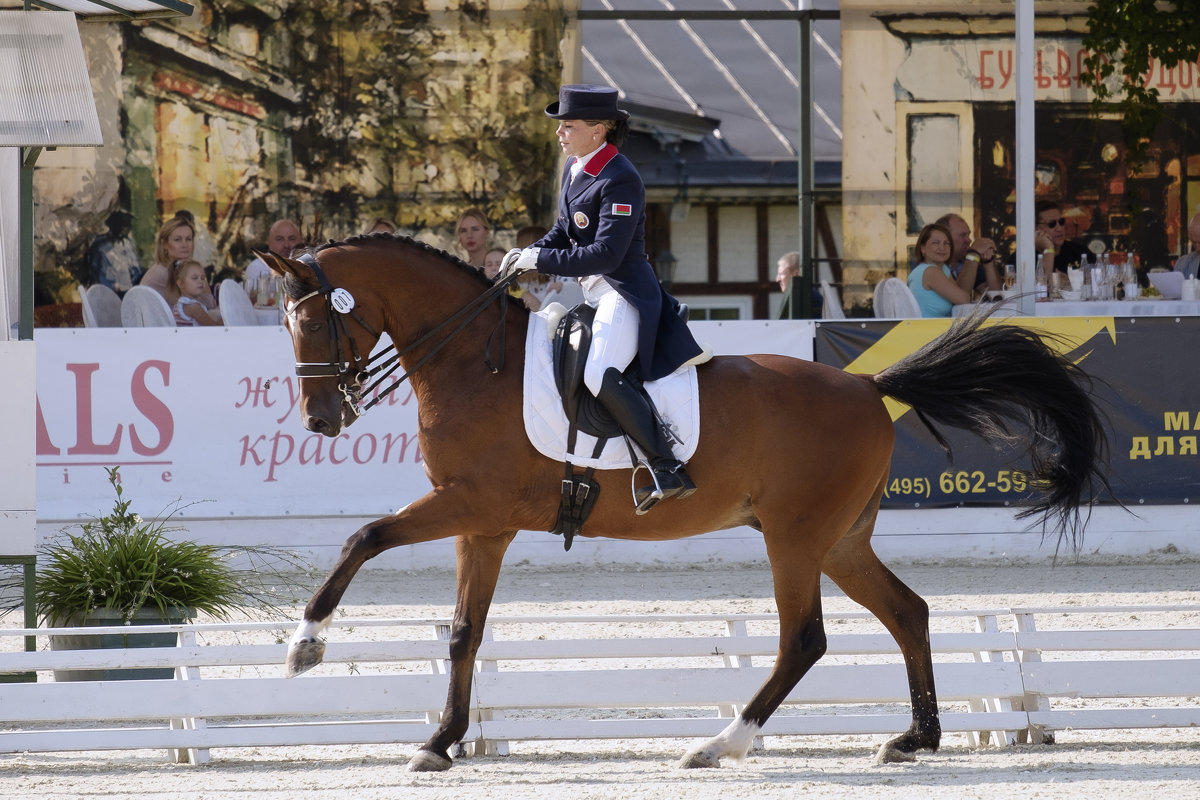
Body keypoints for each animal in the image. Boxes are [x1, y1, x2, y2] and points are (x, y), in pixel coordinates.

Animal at [262, 235, 1104, 772]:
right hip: (840, 540)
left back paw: (720, 744)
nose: (320, 421)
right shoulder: (486, 525)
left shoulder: (465, 502)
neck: (476, 362)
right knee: (908, 612)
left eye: (313, 320)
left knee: (805, 639)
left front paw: (306, 645)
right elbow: (464, 631)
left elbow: (364, 538)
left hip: (795, 537)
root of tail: (868, 385)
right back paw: (912, 740)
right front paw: (440, 742)